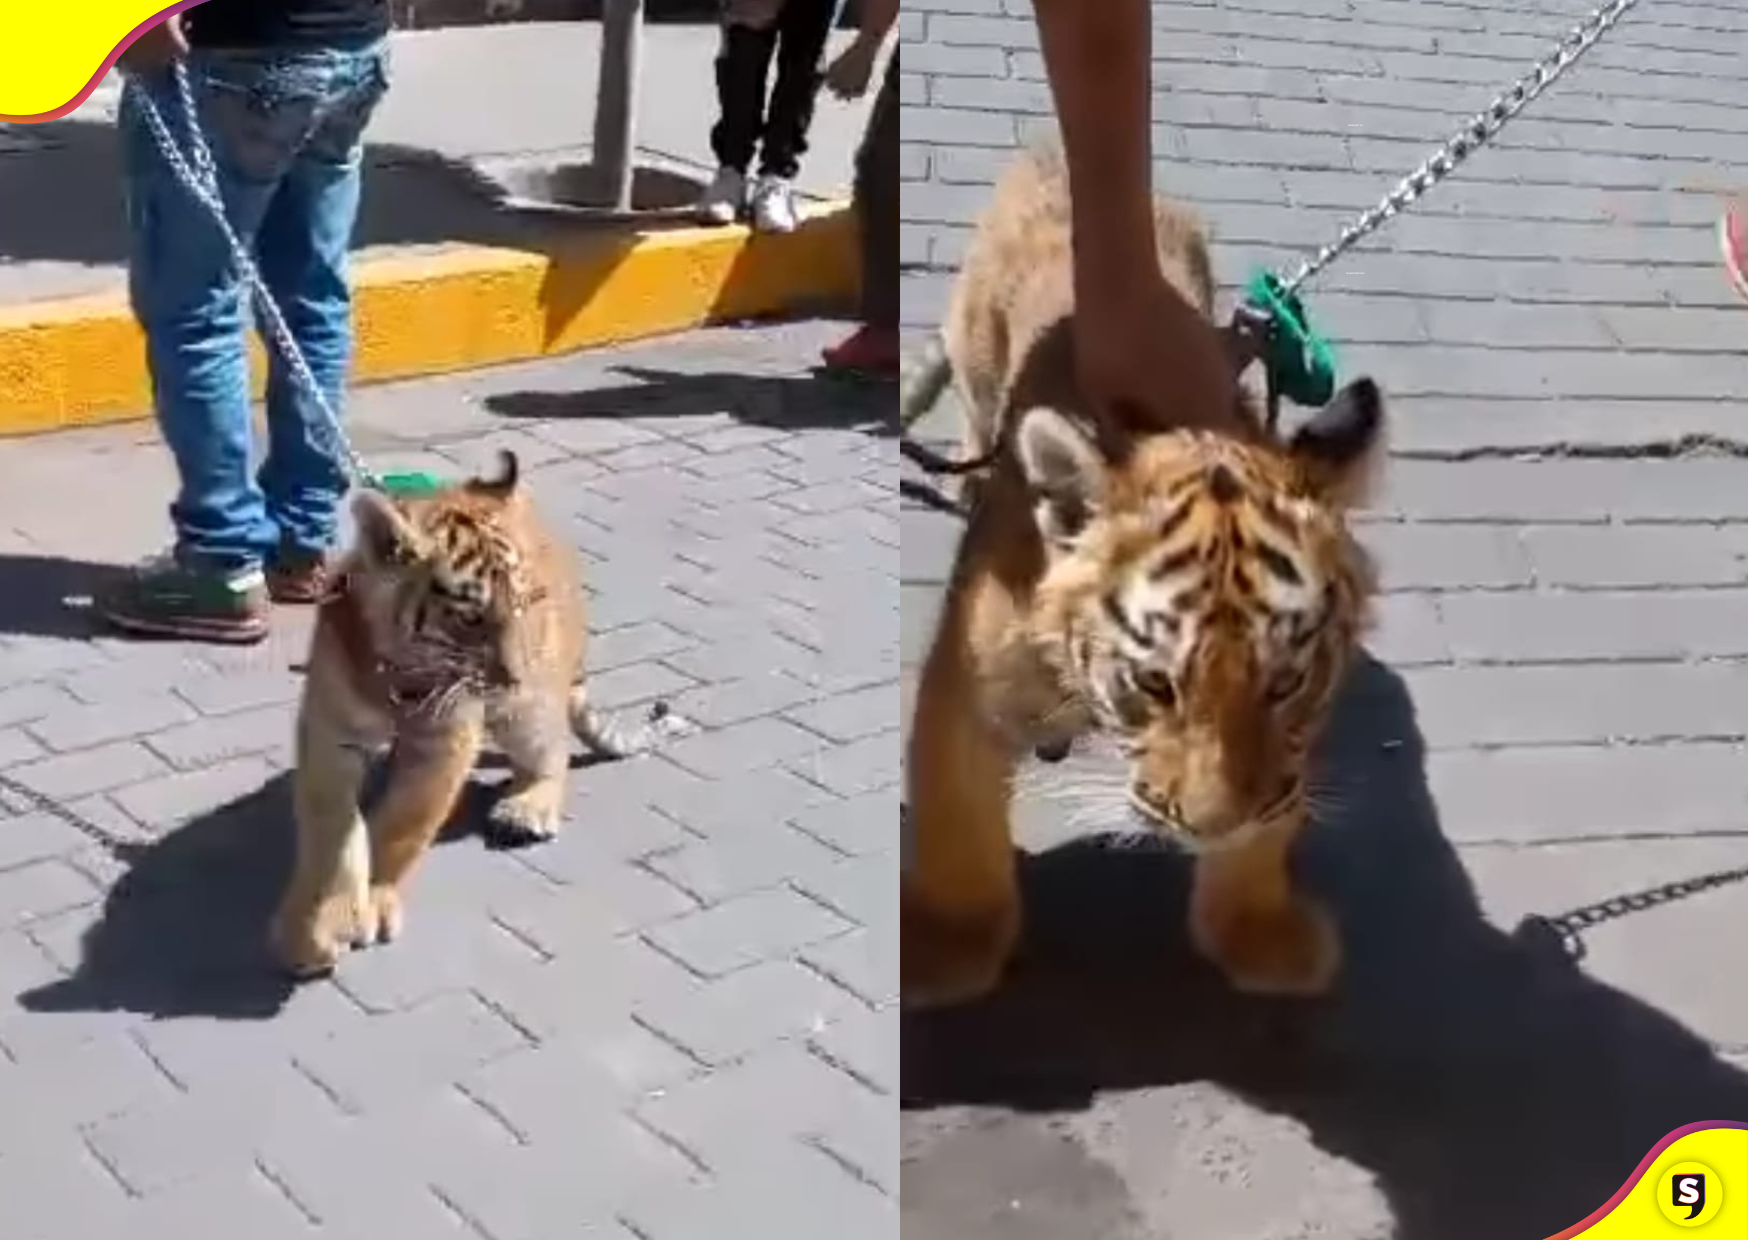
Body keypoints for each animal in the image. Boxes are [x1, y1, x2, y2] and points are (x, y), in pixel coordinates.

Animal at [272, 450, 692, 978]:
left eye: (522, 603)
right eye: (471, 617)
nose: (515, 674)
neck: (399, 667)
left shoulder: (446, 739)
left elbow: (404, 823)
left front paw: (375, 900)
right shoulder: (331, 731)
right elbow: (332, 830)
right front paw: (317, 927)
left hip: (528, 709)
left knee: (553, 751)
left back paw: (526, 807)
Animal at [902, 143, 1387, 1008]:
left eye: (1285, 682)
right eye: (1156, 683)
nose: (1212, 824)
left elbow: (1276, 808)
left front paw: (1256, 931)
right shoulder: (965, 687)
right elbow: (955, 819)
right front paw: (944, 950)